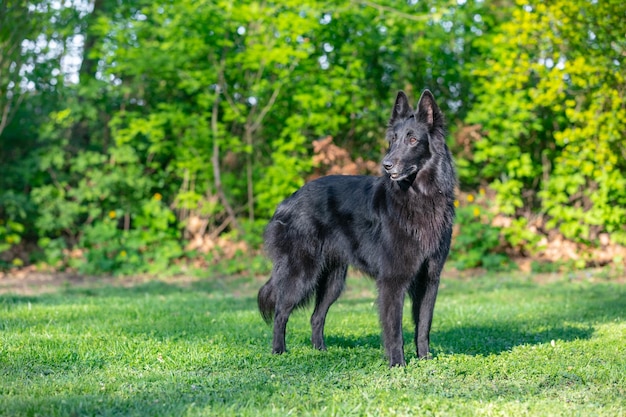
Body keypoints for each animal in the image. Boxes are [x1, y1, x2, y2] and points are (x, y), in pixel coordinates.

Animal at [256, 90, 456, 364]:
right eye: (393, 140)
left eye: (413, 139)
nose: (386, 165)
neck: (419, 196)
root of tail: (288, 201)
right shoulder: (392, 280)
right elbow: (395, 329)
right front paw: (397, 364)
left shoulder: (429, 279)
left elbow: (423, 326)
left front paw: (424, 361)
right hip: (301, 272)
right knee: (280, 312)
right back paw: (278, 352)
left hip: (334, 280)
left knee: (316, 316)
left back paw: (320, 351)